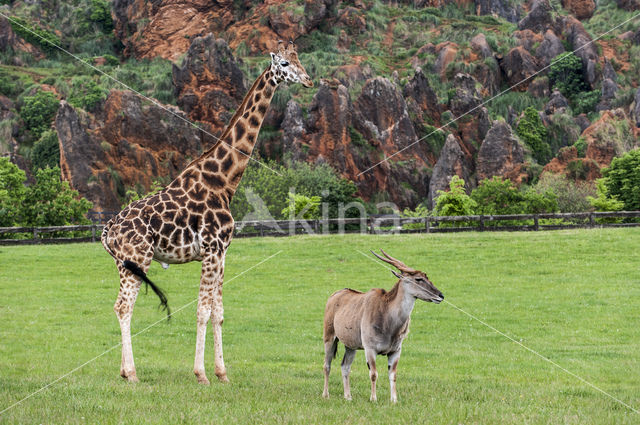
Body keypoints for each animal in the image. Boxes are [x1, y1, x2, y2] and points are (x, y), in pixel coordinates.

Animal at [101, 41, 314, 382]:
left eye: (299, 59)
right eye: (284, 63)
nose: (308, 80)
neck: (225, 181)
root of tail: (108, 229)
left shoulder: (223, 252)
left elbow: (219, 312)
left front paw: (222, 373)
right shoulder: (212, 249)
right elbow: (202, 310)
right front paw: (200, 373)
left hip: (124, 263)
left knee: (120, 306)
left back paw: (124, 371)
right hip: (138, 258)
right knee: (123, 307)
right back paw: (132, 374)